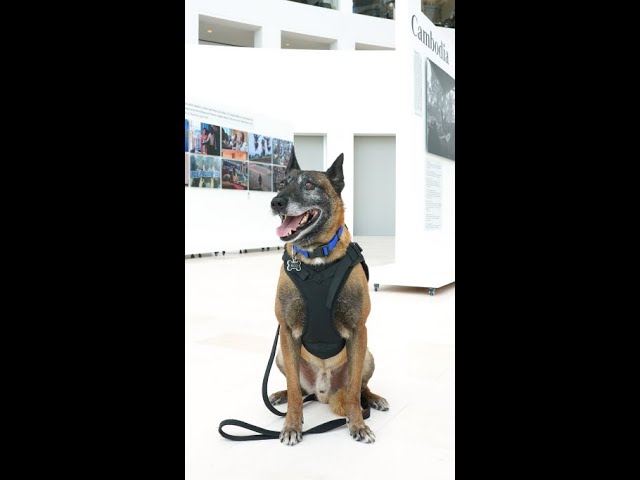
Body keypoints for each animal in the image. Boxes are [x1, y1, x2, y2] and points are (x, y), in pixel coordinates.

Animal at [268, 148, 388, 444]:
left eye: (310, 185)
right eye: (282, 183)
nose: (276, 202)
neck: (316, 259)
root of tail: (322, 392)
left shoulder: (358, 331)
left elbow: (354, 389)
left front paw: (358, 425)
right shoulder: (287, 331)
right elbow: (295, 391)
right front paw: (292, 425)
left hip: (366, 355)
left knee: (361, 388)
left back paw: (374, 399)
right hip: (282, 355)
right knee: (298, 389)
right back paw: (281, 395)